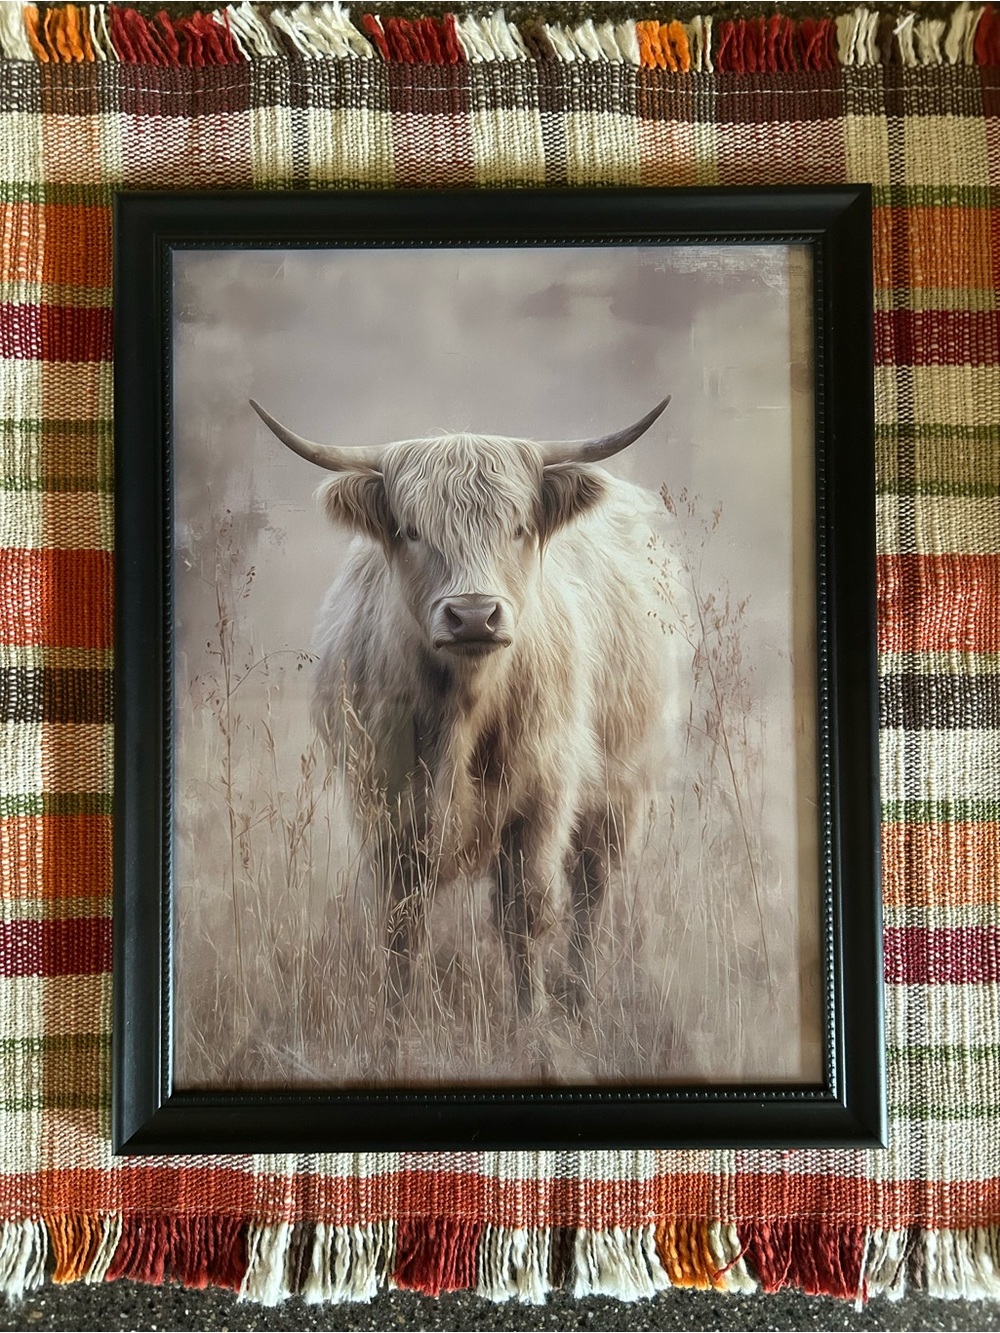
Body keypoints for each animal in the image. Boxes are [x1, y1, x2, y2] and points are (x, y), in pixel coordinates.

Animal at [250, 395, 685, 1025]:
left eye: (520, 527)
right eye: (410, 530)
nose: (474, 615)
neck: (462, 711)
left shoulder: (542, 795)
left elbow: (526, 911)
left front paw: (532, 1022)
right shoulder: (385, 802)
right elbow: (402, 921)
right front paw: (397, 1022)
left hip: (621, 787)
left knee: (591, 886)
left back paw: (579, 998)